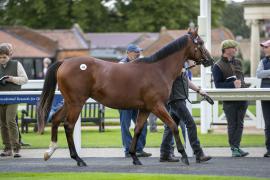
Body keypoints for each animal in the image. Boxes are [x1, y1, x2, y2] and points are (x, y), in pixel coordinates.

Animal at [37, 27, 213, 167]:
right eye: (201, 42)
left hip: (70, 102)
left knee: (56, 119)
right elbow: (173, 126)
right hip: (76, 103)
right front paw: (184, 155)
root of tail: (64, 62)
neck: (158, 69)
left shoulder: (145, 109)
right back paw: (78, 159)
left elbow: (137, 130)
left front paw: (135, 157)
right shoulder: (157, 106)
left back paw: (49, 151)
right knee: (68, 126)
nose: (210, 60)